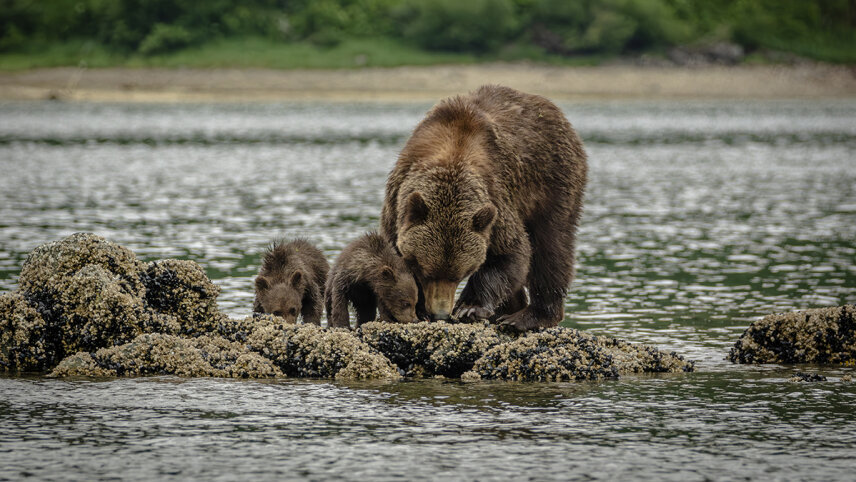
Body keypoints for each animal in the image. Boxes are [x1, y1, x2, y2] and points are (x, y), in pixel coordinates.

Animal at [380, 84, 587, 331]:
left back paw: (527, 316)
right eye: (425, 270)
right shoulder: (396, 202)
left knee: (552, 248)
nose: (440, 313)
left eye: (460, 274)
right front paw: (416, 308)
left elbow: (509, 253)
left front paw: (469, 307)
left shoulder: (496, 201)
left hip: (554, 181)